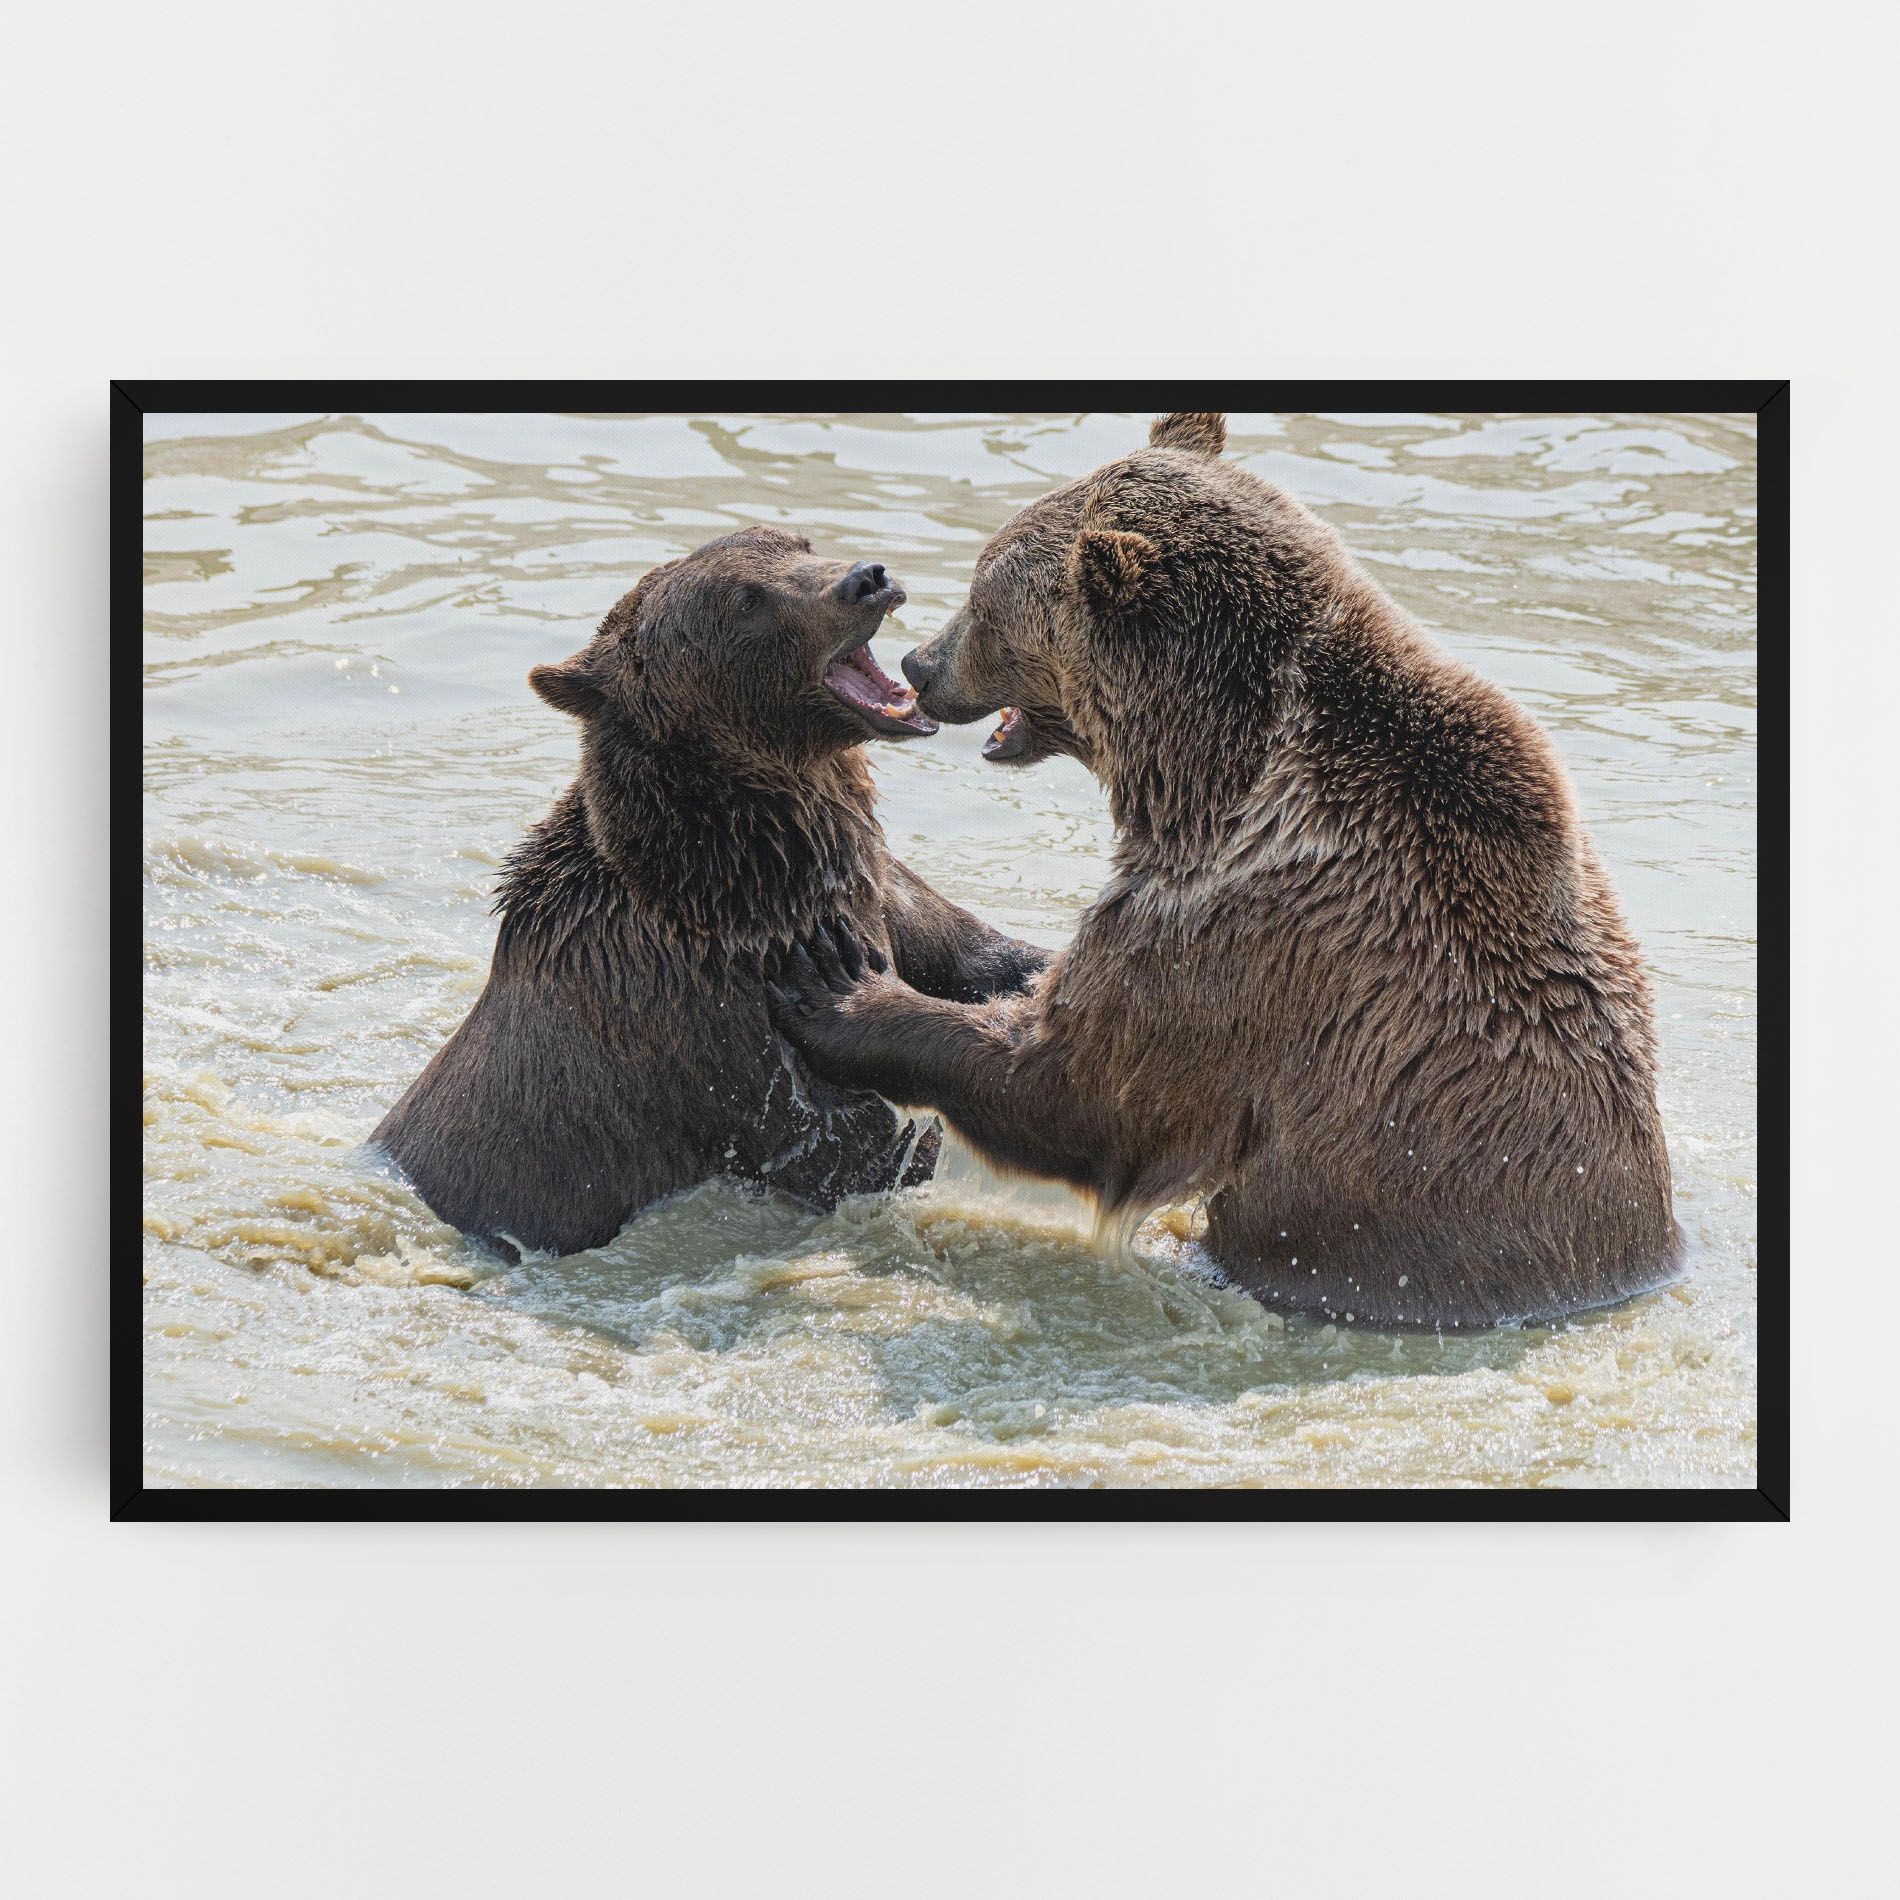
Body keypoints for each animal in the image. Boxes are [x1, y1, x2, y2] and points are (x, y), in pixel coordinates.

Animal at [371, 524, 1048, 1259]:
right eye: (746, 600)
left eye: (798, 543)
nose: (867, 579)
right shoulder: (722, 1027)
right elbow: (857, 1146)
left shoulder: (878, 889)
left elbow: (979, 955)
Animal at [768, 413, 1680, 1331]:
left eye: (986, 598)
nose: (921, 664)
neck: (1206, 774)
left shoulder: (1242, 932)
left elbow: (1079, 1086)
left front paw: (842, 989)